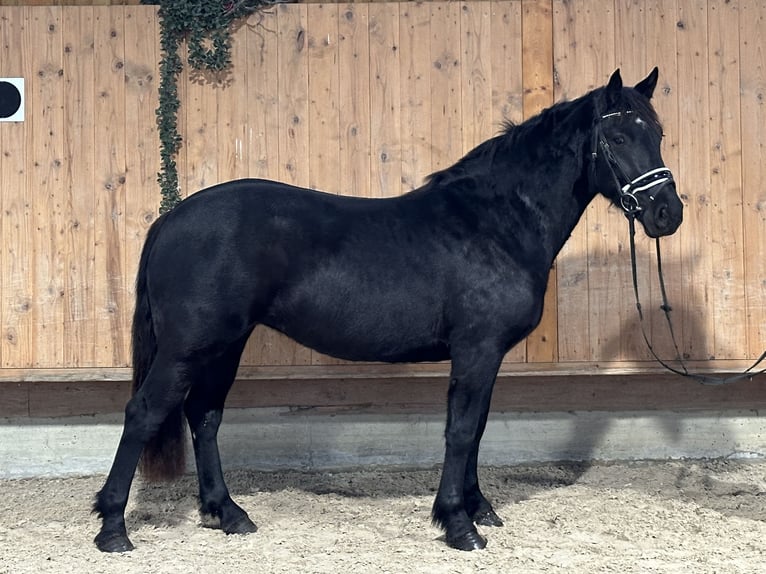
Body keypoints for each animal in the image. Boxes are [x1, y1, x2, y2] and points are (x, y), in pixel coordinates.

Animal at [94, 67, 684, 552]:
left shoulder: (487, 356)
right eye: (617, 136)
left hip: (224, 345)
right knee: (144, 413)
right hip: (190, 346)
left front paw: (479, 508)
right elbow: (461, 430)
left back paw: (229, 514)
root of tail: (173, 217)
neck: (495, 222)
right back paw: (114, 529)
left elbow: (478, 427)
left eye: (657, 134)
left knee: (204, 415)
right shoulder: (476, 349)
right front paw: (458, 525)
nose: (666, 213)